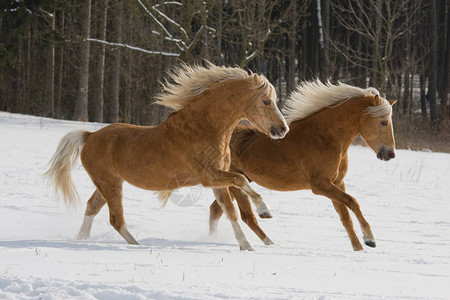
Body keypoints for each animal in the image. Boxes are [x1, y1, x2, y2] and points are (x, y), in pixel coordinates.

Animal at [45, 63, 288, 251]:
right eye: (266, 101)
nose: (282, 129)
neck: (205, 128)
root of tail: (89, 136)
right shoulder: (209, 177)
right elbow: (241, 180)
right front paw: (263, 211)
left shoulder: (217, 180)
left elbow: (231, 209)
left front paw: (248, 242)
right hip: (110, 184)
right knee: (116, 220)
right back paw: (137, 245)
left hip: (108, 183)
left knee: (92, 207)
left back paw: (81, 239)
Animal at [209, 80, 396, 251]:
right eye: (384, 122)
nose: (390, 154)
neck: (324, 138)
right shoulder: (320, 185)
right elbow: (353, 202)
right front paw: (370, 239)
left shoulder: (337, 183)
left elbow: (345, 217)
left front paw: (359, 248)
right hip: (234, 182)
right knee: (246, 216)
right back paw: (266, 241)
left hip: (238, 181)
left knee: (217, 210)